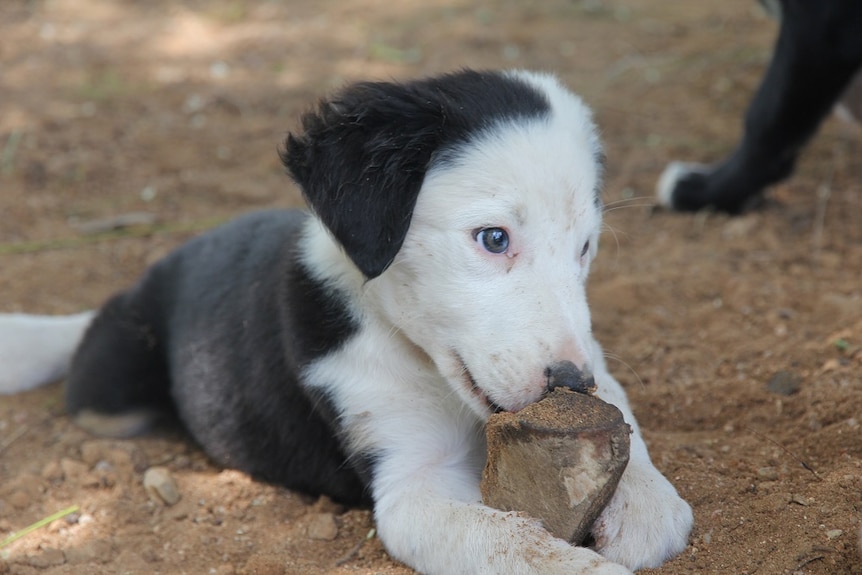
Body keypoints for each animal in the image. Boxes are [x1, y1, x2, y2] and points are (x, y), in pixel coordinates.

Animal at [0, 70, 692, 572]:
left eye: (585, 249)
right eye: (493, 239)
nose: (571, 384)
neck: (417, 357)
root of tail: (156, 274)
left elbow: (636, 451)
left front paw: (641, 503)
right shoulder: (413, 484)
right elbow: (512, 545)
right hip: (110, 395)